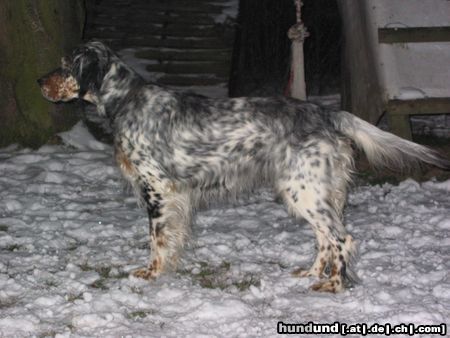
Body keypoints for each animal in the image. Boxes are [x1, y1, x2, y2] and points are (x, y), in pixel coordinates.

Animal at [37, 41, 448, 292]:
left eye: (66, 65)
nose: (39, 80)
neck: (126, 100)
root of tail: (324, 112)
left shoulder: (157, 189)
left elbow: (156, 239)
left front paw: (150, 273)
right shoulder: (174, 196)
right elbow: (172, 238)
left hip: (304, 191)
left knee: (341, 239)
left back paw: (333, 286)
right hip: (312, 193)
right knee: (325, 240)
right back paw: (311, 273)